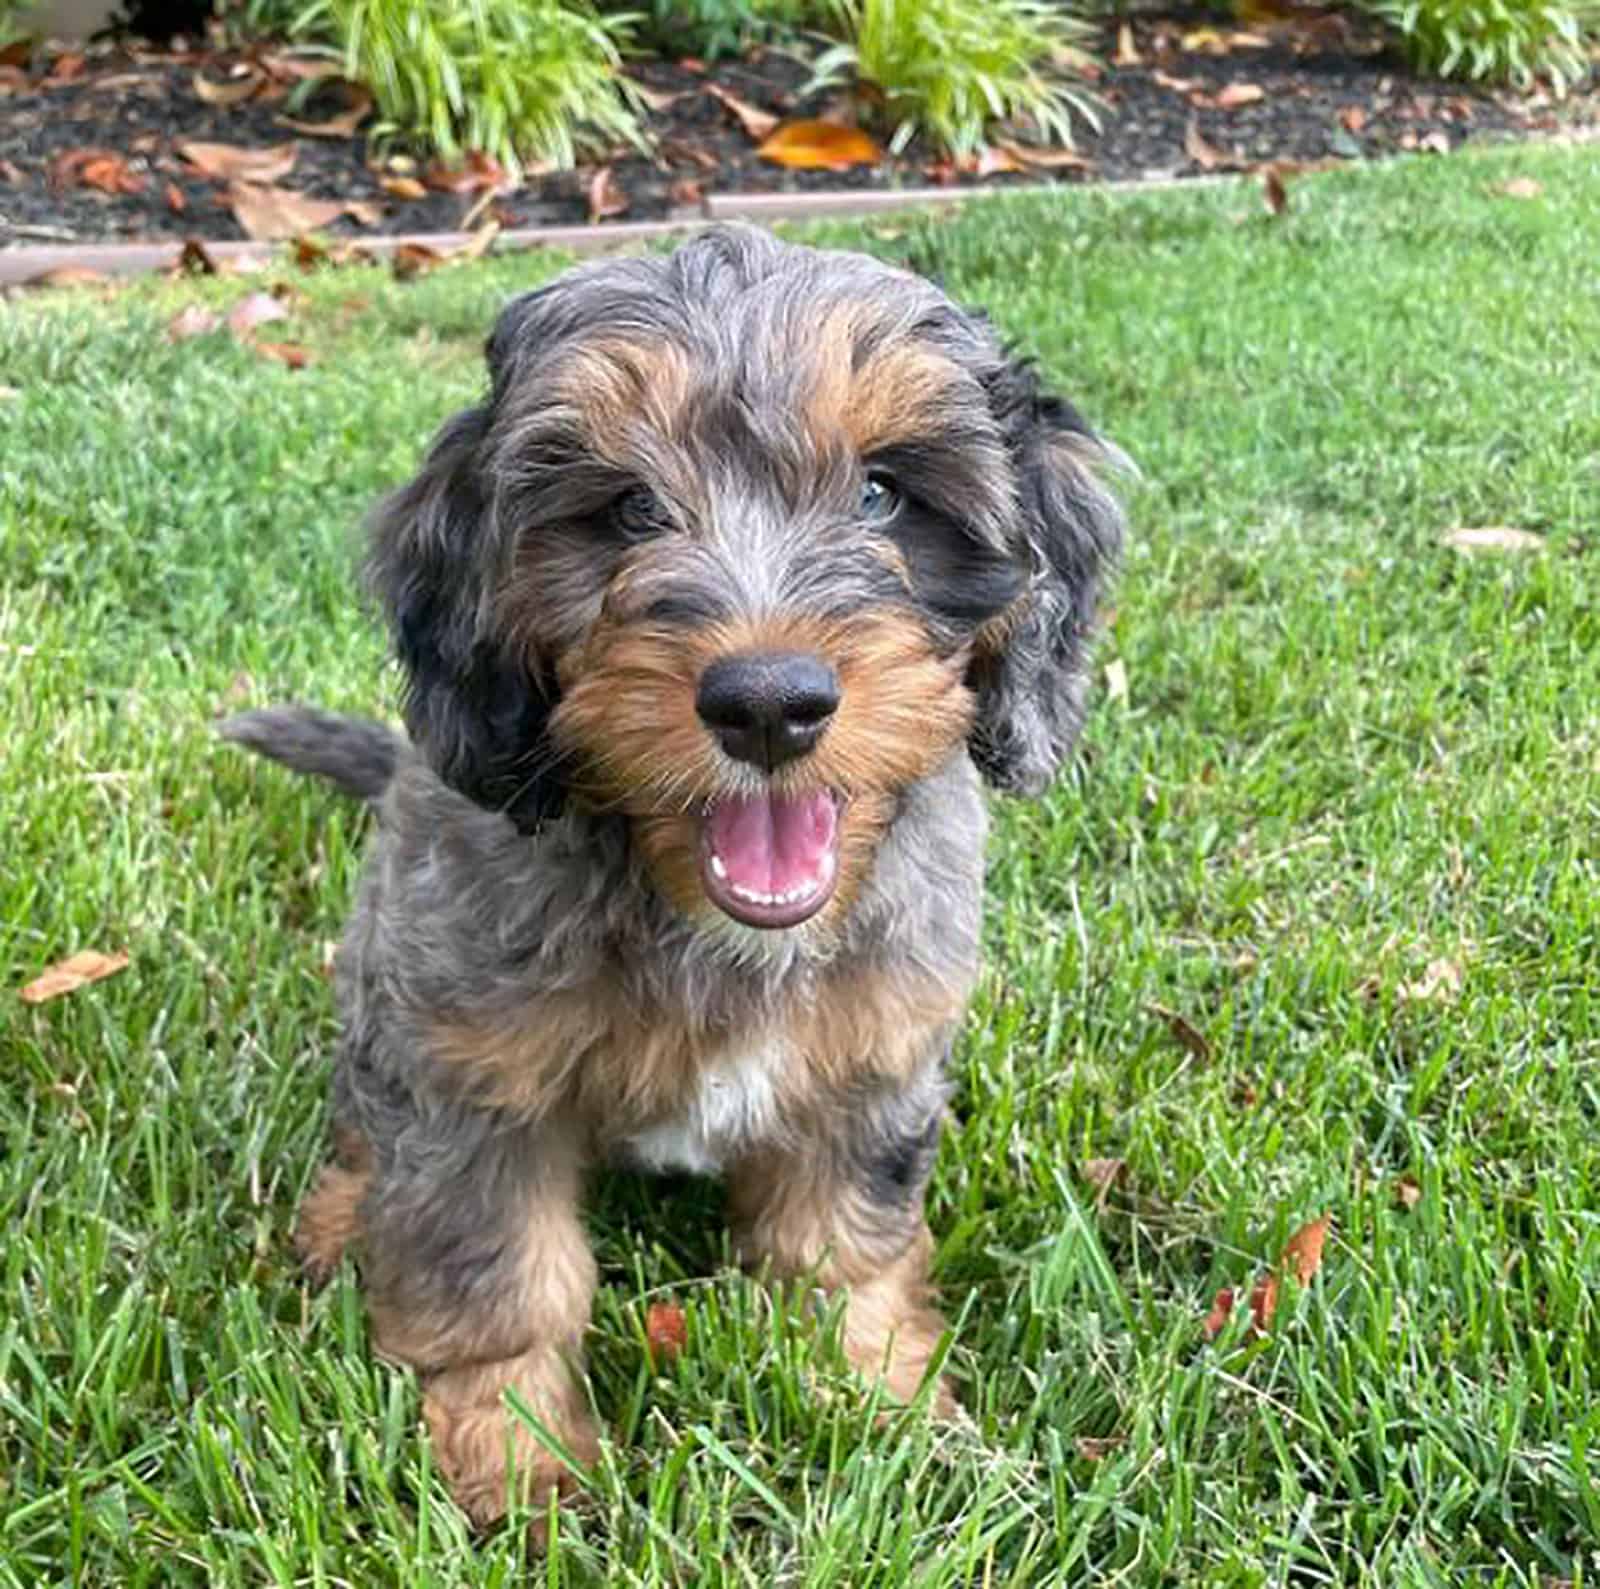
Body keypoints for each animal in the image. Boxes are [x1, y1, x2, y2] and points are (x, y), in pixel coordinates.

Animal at [222, 224, 1126, 1523]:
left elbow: (842, 1241)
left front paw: (886, 1407)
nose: (767, 703)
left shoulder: (875, 1059)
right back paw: (349, 1212)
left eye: (882, 494)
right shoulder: (474, 1075)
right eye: (629, 509)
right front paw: (521, 1472)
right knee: (367, 1124)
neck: (705, 919)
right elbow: (498, 1275)